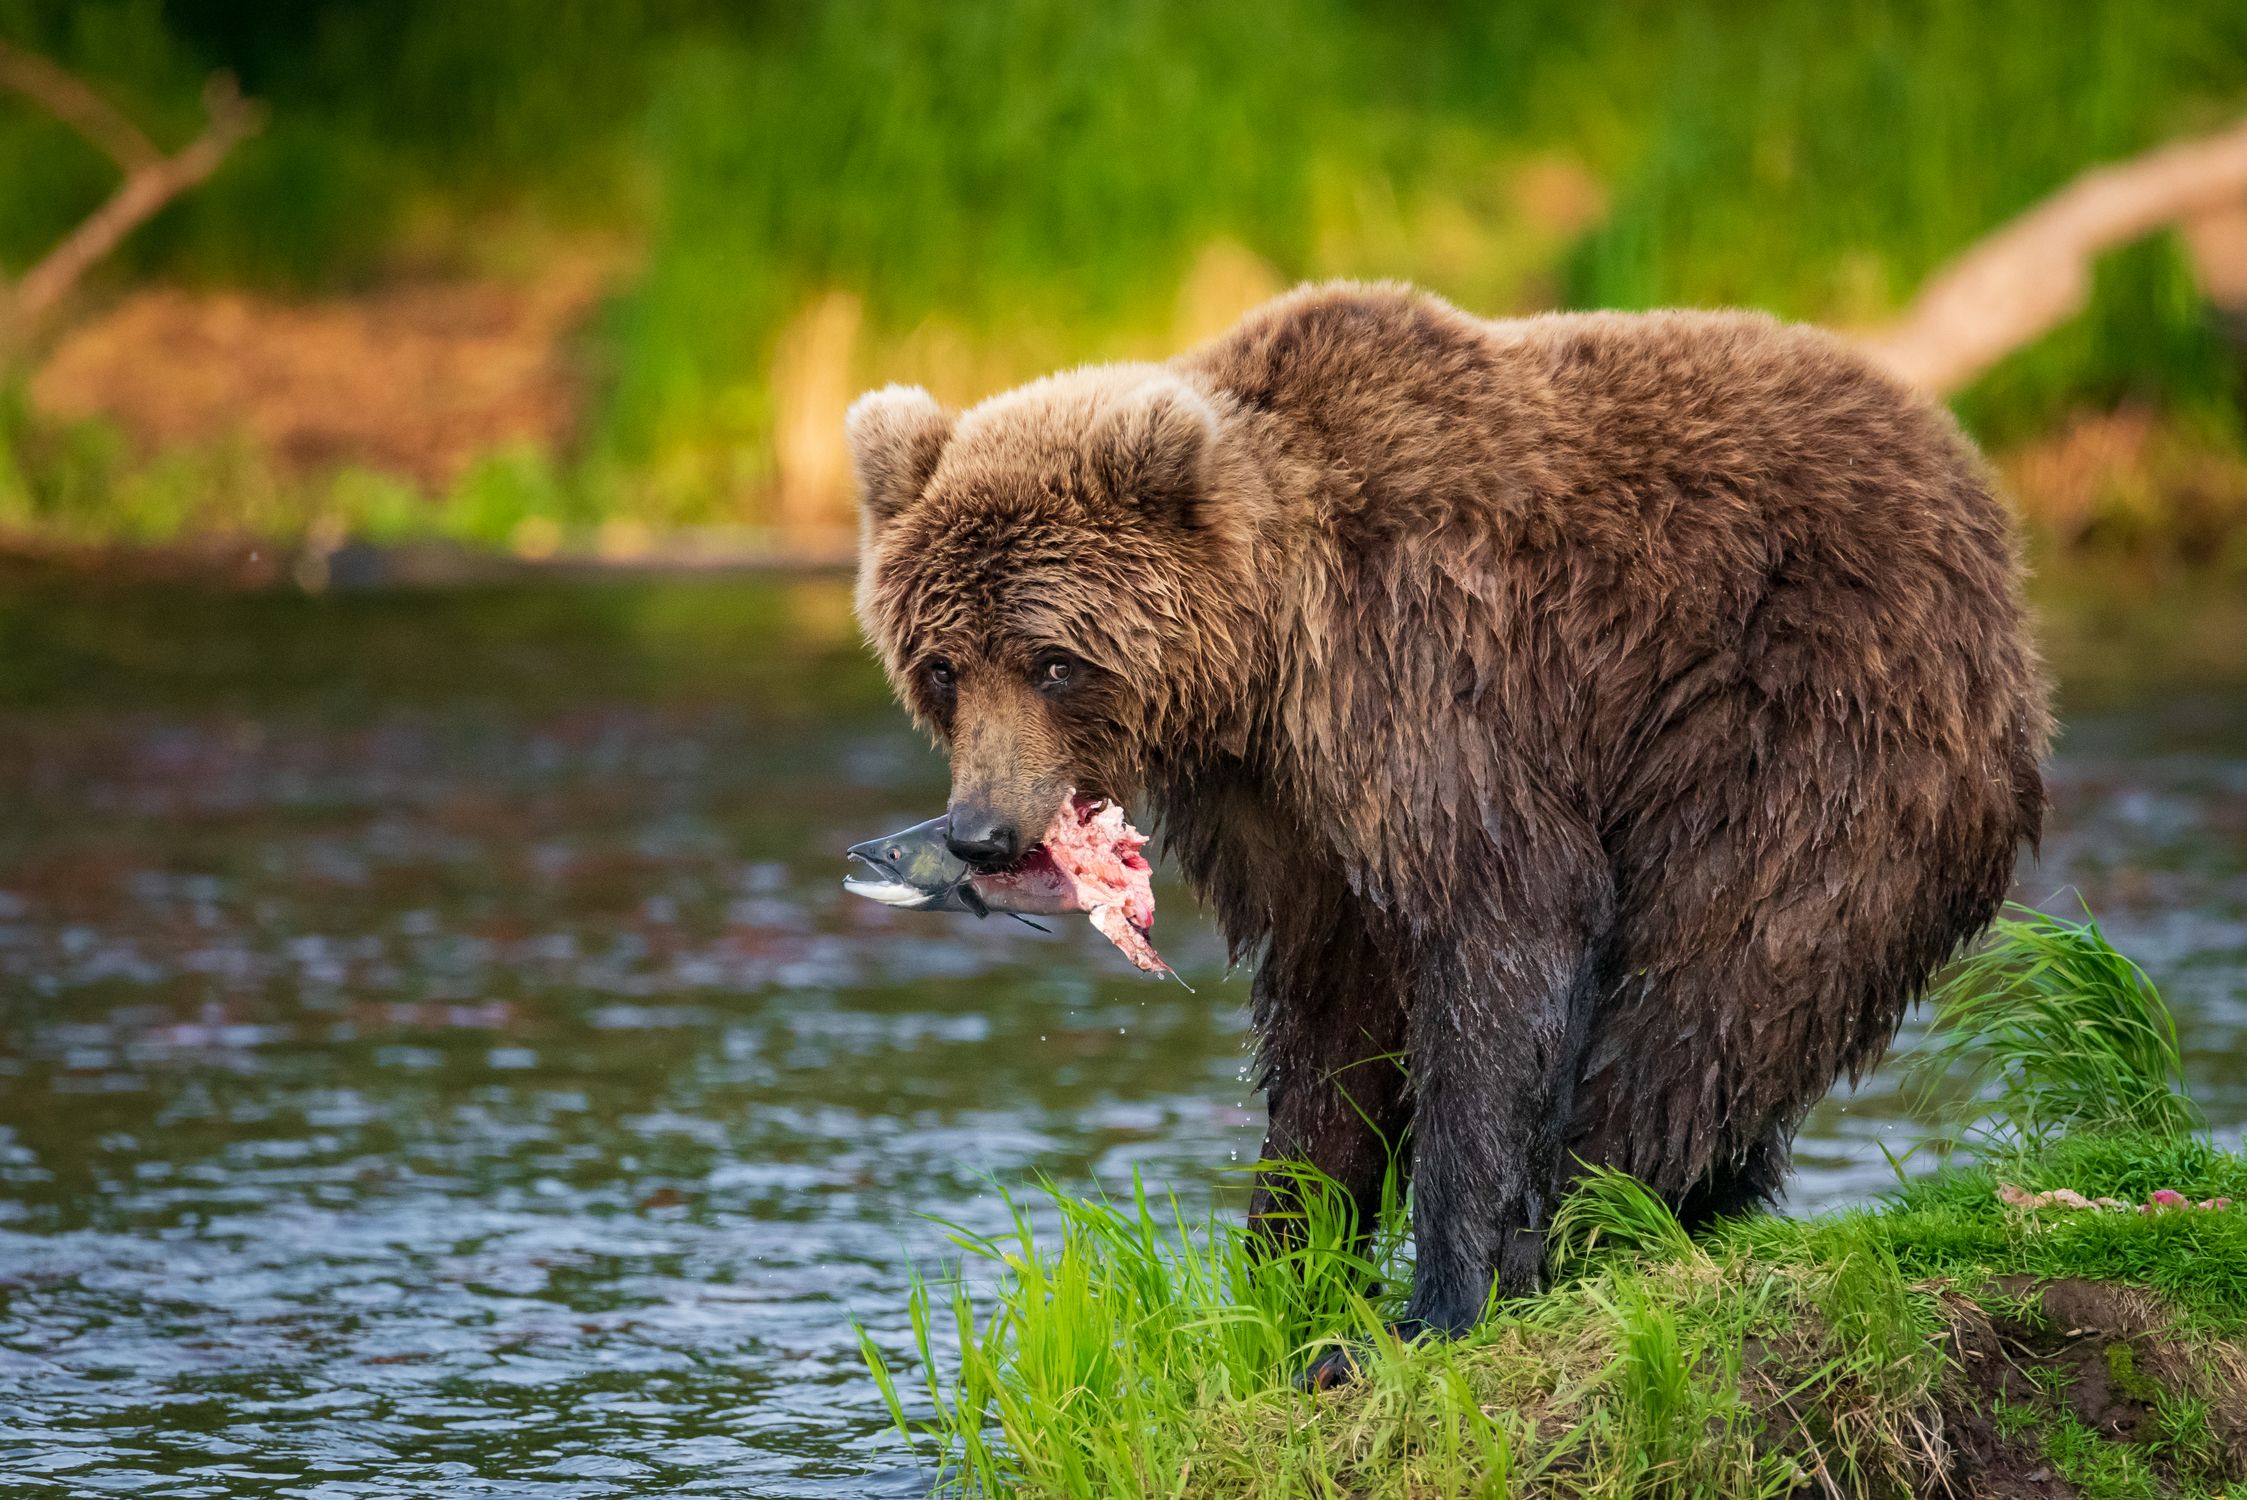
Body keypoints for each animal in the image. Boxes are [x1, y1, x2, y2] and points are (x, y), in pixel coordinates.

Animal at [844, 278, 2058, 1347]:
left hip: (1805, 714)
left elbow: (1504, 924)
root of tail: (1975, 492)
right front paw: (1281, 1272)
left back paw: (1585, 1225)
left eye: (1052, 662)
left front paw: (1432, 1303)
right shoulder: (1279, 798)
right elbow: (1331, 1011)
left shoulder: (1426, 676)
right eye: (943, 666)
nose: (982, 832)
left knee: (1717, 973)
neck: (1265, 649)